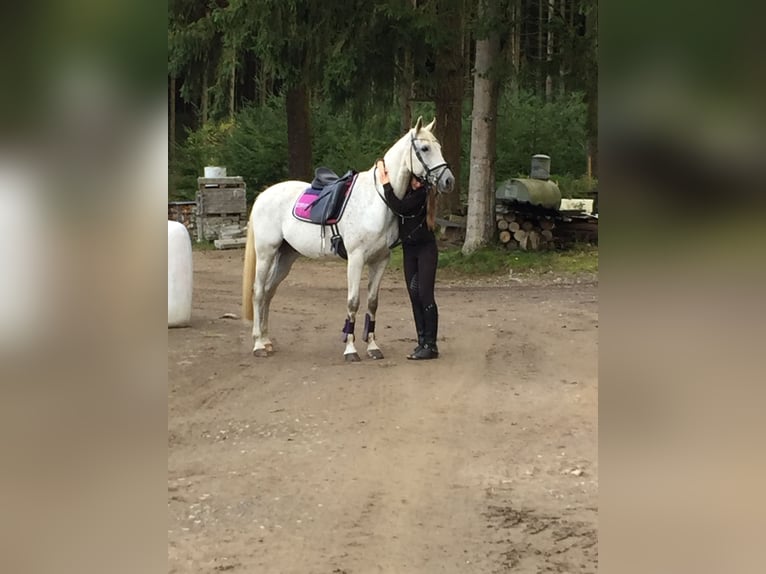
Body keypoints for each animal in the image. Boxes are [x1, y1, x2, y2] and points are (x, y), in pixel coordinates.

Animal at [242, 116, 456, 360]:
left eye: (439, 147)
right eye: (425, 148)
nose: (449, 181)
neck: (377, 199)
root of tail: (264, 195)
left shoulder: (380, 260)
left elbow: (372, 303)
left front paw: (373, 347)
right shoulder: (356, 259)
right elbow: (353, 302)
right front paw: (351, 349)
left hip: (286, 256)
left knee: (269, 292)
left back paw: (267, 340)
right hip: (266, 253)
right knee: (258, 292)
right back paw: (258, 344)